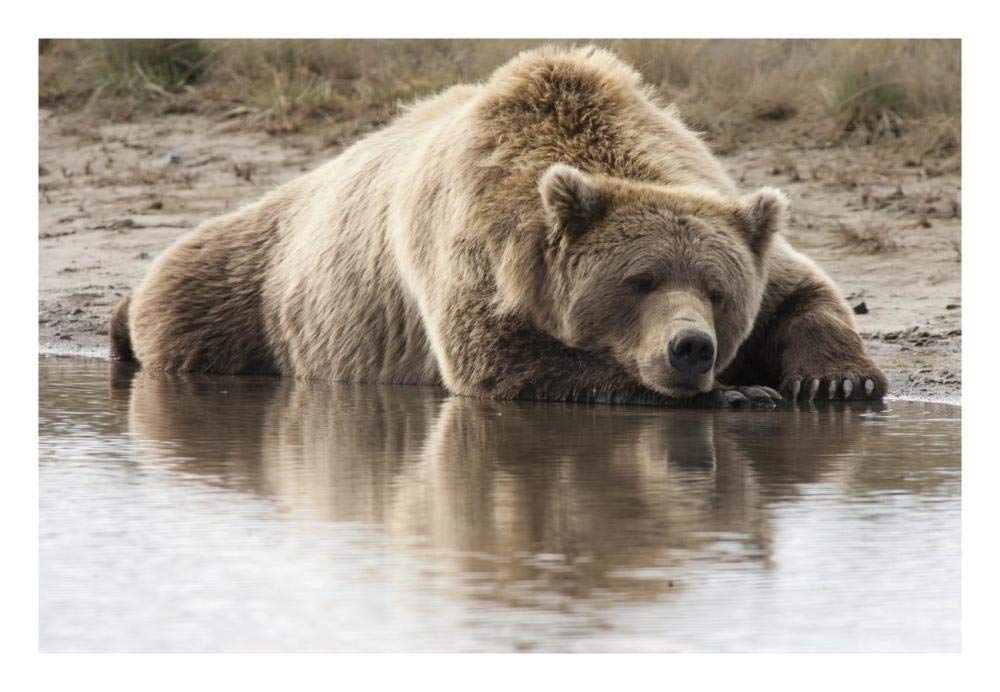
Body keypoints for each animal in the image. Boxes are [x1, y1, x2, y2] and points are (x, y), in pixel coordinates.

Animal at [111, 45, 887, 406]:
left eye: (718, 292)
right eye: (639, 281)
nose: (691, 347)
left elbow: (801, 290)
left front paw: (838, 382)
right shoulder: (477, 250)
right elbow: (506, 361)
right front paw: (739, 392)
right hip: (250, 289)